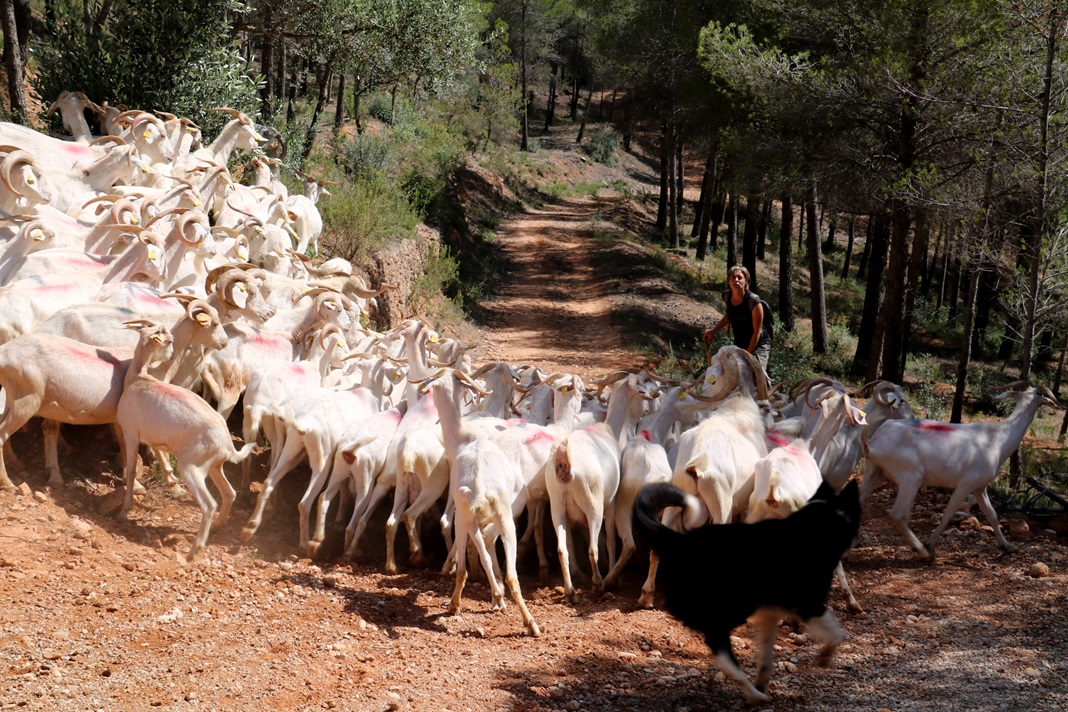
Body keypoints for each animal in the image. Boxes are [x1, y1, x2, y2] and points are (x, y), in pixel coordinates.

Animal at [627, 476, 862, 704]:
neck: (820, 524)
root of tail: (678, 540)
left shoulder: (770, 612)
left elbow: (767, 655)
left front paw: (763, 680)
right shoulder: (809, 604)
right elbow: (836, 632)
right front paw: (826, 655)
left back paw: (755, 692)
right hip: (732, 610)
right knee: (720, 648)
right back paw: (754, 695)